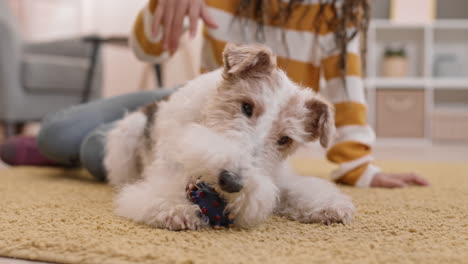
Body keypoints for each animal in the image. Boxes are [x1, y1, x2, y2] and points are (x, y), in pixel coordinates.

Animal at [104, 43, 354, 231]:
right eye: (246, 107)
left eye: (285, 139)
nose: (231, 182)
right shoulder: (167, 172)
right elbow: (159, 192)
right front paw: (176, 210)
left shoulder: (277, 176)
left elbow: (296, 189)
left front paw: (330, 206)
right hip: (127, 136)